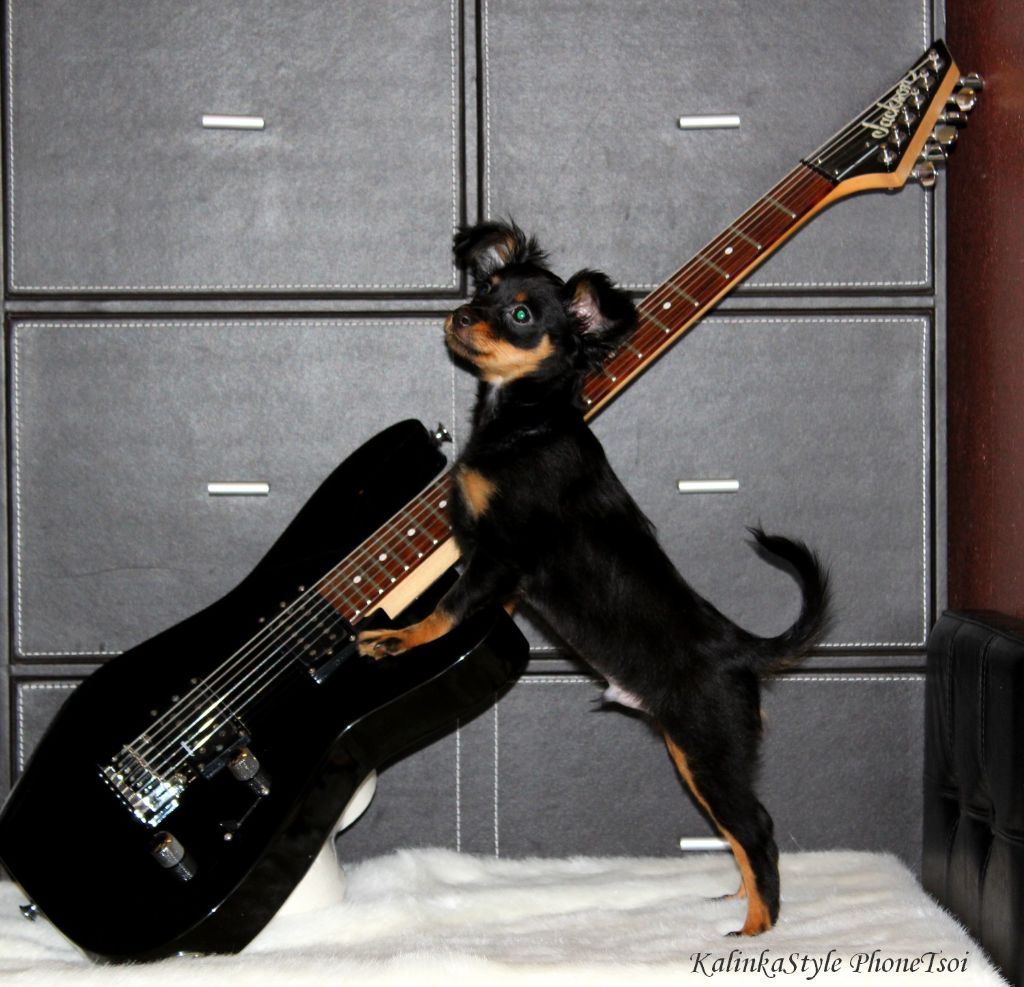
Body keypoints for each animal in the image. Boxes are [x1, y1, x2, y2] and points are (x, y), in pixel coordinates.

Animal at [358, 221, 831, 935]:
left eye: (522, 315)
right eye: (487, 288)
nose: (464, 315)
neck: (526, 422)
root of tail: (738, 647)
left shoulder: (499, 554)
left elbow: (448, 609)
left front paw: (400, 638)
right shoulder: (499, 569)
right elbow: (479, 608)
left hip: (708, 752)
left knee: (758, 831)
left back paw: (757, 930)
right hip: (696, 756)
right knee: (742, 836)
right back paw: (741, 901)